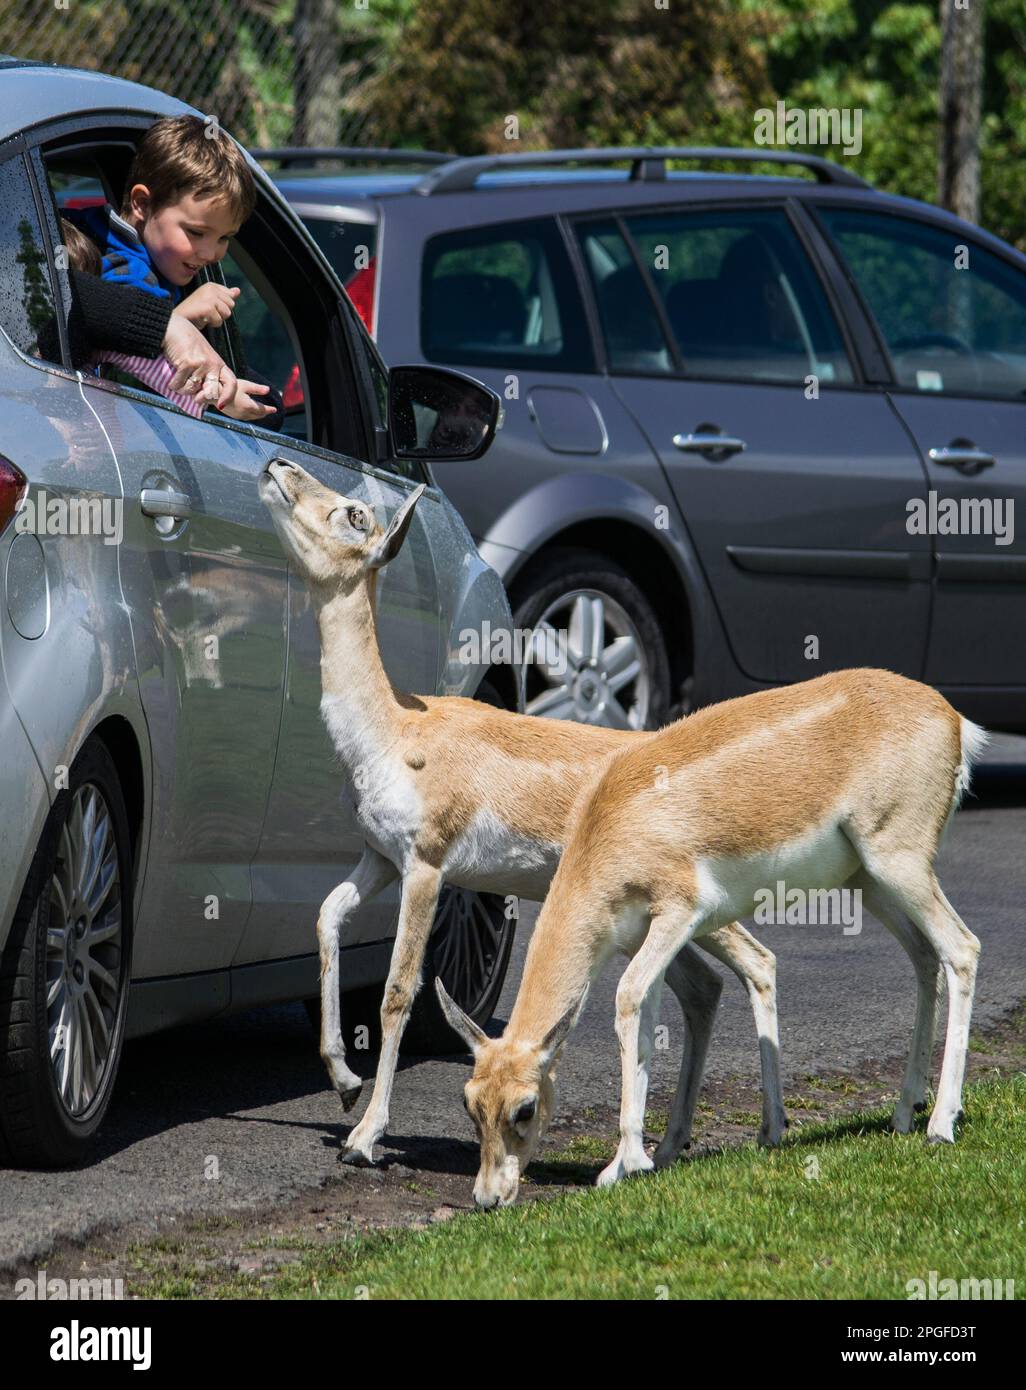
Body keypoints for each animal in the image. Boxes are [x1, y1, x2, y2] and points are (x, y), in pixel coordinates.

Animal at [258, 456, 788, 1166]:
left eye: (354, 513)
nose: (280, 464)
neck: (394, 731)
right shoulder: (379, 857)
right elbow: (325, 917)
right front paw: (343, 1082)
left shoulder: (426, 867)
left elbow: (398, 991)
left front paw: (365, 1137)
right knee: (703, 987)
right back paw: (672, 1143)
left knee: (759, 964)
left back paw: (769, 1131)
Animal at [438, 667, 986, 1208]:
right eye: (470, 1103)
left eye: (525, 1108)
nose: (487, 1198)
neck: (614, 822)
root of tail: (952, 718)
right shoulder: (643, 935)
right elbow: (646, 1019)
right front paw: (642, 1157)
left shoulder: (681, 911)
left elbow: (628, 998)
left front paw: (623, 1165)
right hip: (868, 881)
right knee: (925, 956)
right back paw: (903, 1113)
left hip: (898, 863)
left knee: (962, 948)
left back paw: (941, 1124)